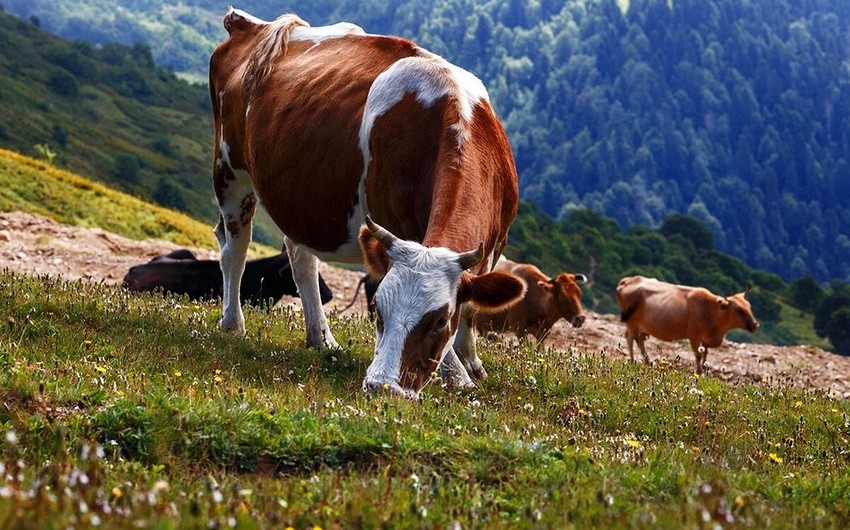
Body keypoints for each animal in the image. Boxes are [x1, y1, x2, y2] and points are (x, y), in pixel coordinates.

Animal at [207, 9, 524, 396]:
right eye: (377, 308)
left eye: (439, 320)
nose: (382, 386)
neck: (458, 118)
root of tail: (251, 24)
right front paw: (458, 375)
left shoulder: (496, 240)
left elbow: (473, 304)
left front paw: (471, 363)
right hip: (230, 169)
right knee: (234, 249)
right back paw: (233, 324)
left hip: (299, 197)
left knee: (300, 257)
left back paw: (321, 337)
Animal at [612, 274, 760, 374]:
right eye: (738, 309)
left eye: (749, 306)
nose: (755, 325)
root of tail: (628, 280)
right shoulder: (694, 336)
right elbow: (698, 356)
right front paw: (698, 373)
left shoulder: (705, 340)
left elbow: (705, 356)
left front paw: (703, 372)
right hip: (631, 321)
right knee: (630, 338)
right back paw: (632, 361)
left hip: (643, 326)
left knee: (639, 340)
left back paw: (648, 362)